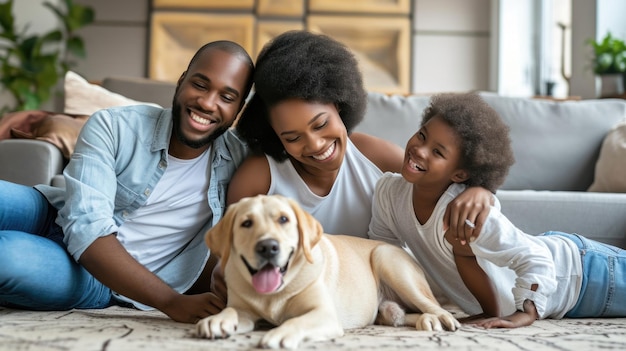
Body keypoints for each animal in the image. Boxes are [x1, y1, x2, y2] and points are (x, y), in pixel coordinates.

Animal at [195, 195, 458, 350]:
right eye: (246, 223)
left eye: (283, 219)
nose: (268, 247)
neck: (275, 294)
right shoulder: (244, 310)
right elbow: (231, 310)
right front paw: (217, 320)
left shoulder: (325, 314)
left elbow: (296, 321)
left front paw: (279, 334)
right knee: (403, 314)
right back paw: (424, 320)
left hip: (388, 260)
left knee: (433, 305)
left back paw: (442, 319)